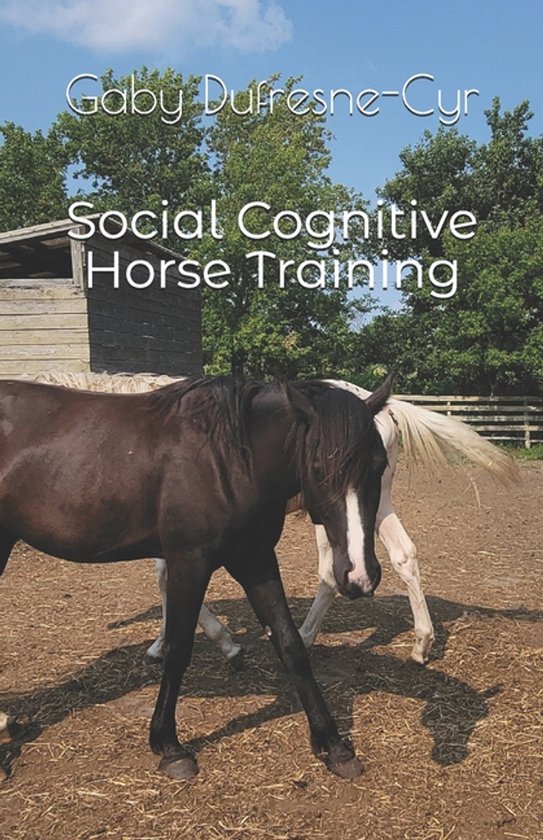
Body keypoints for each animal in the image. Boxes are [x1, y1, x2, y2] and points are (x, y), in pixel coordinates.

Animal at [0, 374, 392, 780]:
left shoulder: (255, 560)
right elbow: (178, 648)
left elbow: (291, 646)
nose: (360, 575)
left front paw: (334, 746)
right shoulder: (189, 561)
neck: (228, 460)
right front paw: (170, 746)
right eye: (317, 467)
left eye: (380, 465)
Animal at [26, 371, 517, 666]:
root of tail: (382, 407)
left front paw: (219, 644)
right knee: (399, 557)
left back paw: (308, 635)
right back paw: (418, 645)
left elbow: (167, 582)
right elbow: (167, 582)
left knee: (340, 571)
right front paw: (167, 642)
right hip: (370, 507)